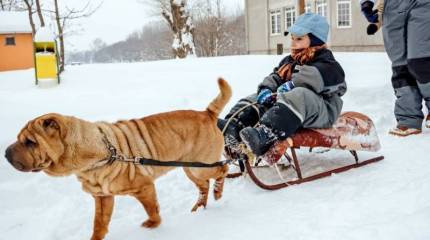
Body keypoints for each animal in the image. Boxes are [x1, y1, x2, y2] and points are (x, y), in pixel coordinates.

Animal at [4, 78, 232, 239]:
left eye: (30, 142)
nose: (5, 154)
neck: (96, 153)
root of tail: (207, 114)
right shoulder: (103, 197)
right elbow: (99, 223)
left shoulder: (144, 187)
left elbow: (152, 209)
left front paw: (153, 225)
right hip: (190, 169)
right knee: (203, 186)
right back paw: (199, 207)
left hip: (201, 166)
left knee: (223, 170)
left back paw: (219, 192)